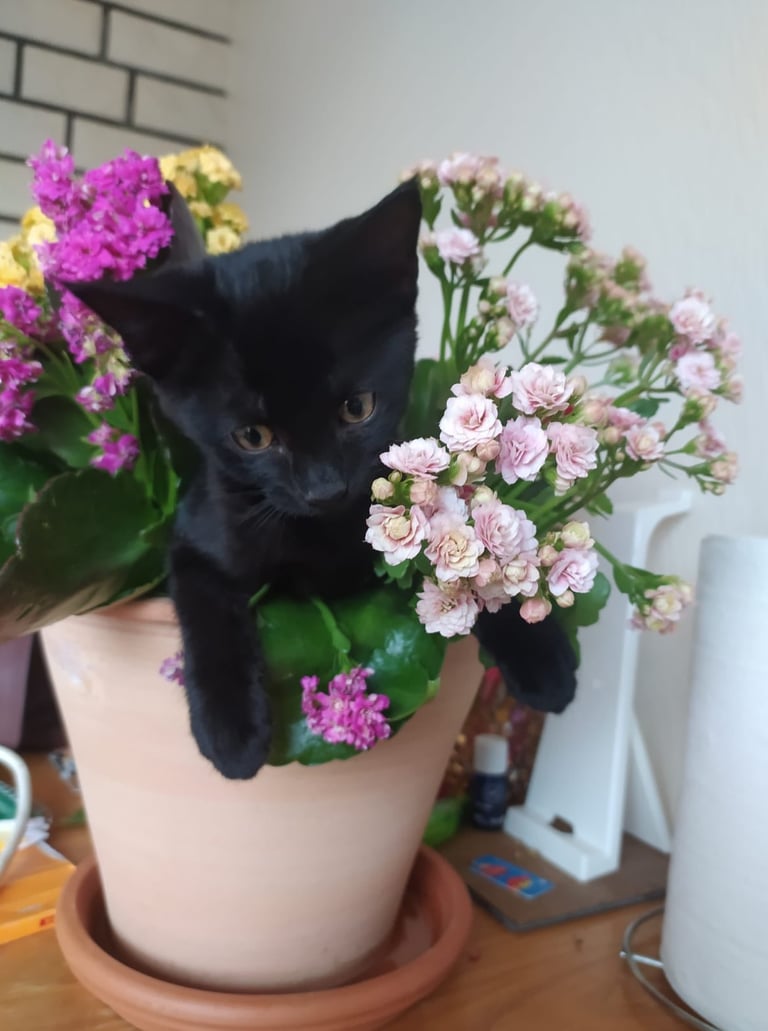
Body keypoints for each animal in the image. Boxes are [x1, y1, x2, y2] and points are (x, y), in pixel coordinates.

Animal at [69, 181, 576, 780]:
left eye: (357, 407)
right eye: (253, 436)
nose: (325, 489)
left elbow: (477, 580)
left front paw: (540, 656)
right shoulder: (197, 533)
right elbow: (206, 611)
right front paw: (230, 732)